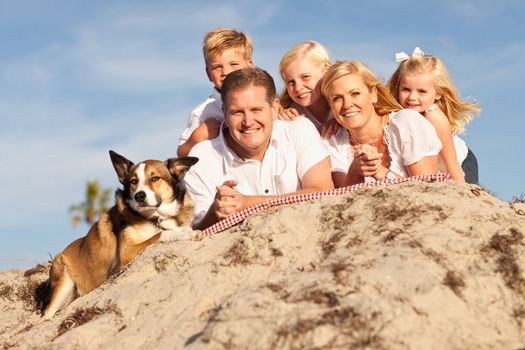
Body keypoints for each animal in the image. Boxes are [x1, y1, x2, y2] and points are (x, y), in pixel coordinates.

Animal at [42, 150, 199, 320]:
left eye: (154, 178)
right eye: (133, 181)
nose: (139, 196)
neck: (153, 218)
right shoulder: (127, 252)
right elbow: (159, 235)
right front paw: (183, 234)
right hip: (63, 282)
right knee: (45, 315)